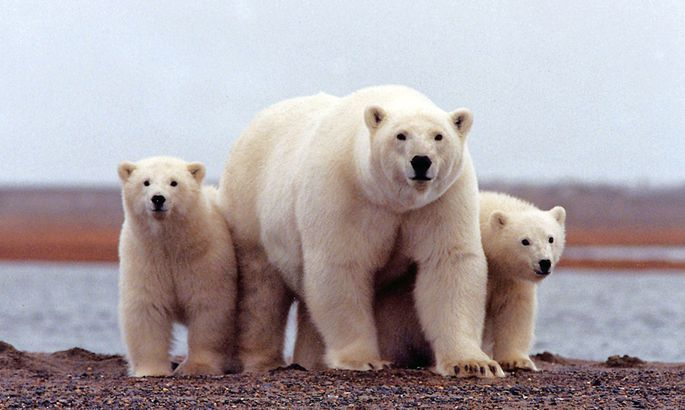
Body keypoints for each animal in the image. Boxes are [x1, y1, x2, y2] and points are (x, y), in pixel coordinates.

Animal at [120, 155, 240, 376]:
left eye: (174, 182)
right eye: (146, 182)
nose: (158, 198)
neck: (171, 245)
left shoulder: (205, 258)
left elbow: (208, 307)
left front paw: (197, 367)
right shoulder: (145, 258)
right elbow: (147, 308)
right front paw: (152, 370)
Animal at [219, 85, 502, 378]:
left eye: (439, 136)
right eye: (401, 135)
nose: (421, 161)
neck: (393, 200)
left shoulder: (441, 200)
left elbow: (448, 262)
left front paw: (473, 364)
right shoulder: (344, 193)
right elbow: (342, 266)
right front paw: (363, 359)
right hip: (250, 208)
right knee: (261, 291)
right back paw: (263, 361)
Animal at [294, 191, 568, 374]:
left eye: (551, 238)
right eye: (525, 241)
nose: (544, 263)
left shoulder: (509, 278)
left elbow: (515, 310)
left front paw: (517, 361)